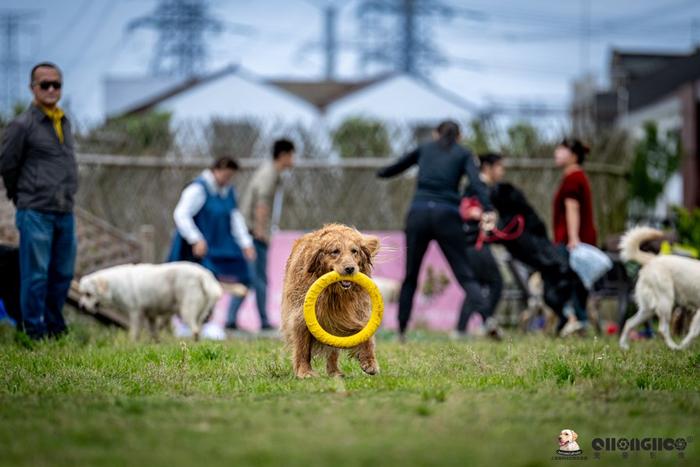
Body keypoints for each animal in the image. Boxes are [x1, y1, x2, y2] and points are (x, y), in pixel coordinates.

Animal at [79, 262, 221, 342]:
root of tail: (203, 274)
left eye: (88, 294)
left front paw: (132, 344)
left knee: (195, 330)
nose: (81, 306)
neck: (115, 284)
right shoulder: (150, 315)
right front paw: (155, 342)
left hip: (186, 309)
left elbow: (134, 332)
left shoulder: (136, 312)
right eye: (82, 293)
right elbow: (154, 330)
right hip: (200, 313)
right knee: (198, 328)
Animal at [278, 224, 380, 380]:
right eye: (335, 251)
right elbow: (302, 347)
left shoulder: (355, 313)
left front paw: (369, 362)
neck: (334, 293)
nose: (350, 268)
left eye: (354, 251)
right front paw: (304, 371)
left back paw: (335, 372)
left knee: (333, 352)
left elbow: (365, 332)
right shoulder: (301, 315)